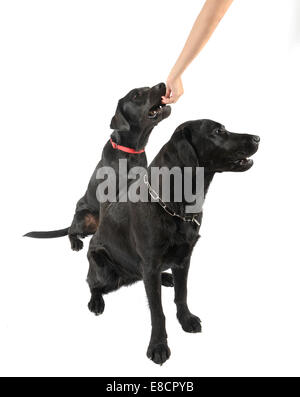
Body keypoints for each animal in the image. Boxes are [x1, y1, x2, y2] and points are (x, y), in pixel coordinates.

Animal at [24, 83, 171, 251]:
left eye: (147, 87)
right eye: (136, 95)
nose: (163, 84)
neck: (129, 152)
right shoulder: (108, 196)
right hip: (83, 215)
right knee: (70, 231)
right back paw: (76, 241)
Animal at [86, 119, 260, 364]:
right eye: (218, 131)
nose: (257, 138)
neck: (176, 205)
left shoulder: (184, 257)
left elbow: (182, 294)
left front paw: (186, 319)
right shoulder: (150, 264)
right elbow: (157, 312)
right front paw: (158, 345)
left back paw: (165, 278)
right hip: (101, 264)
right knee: (91, 283)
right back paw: (96, 301)